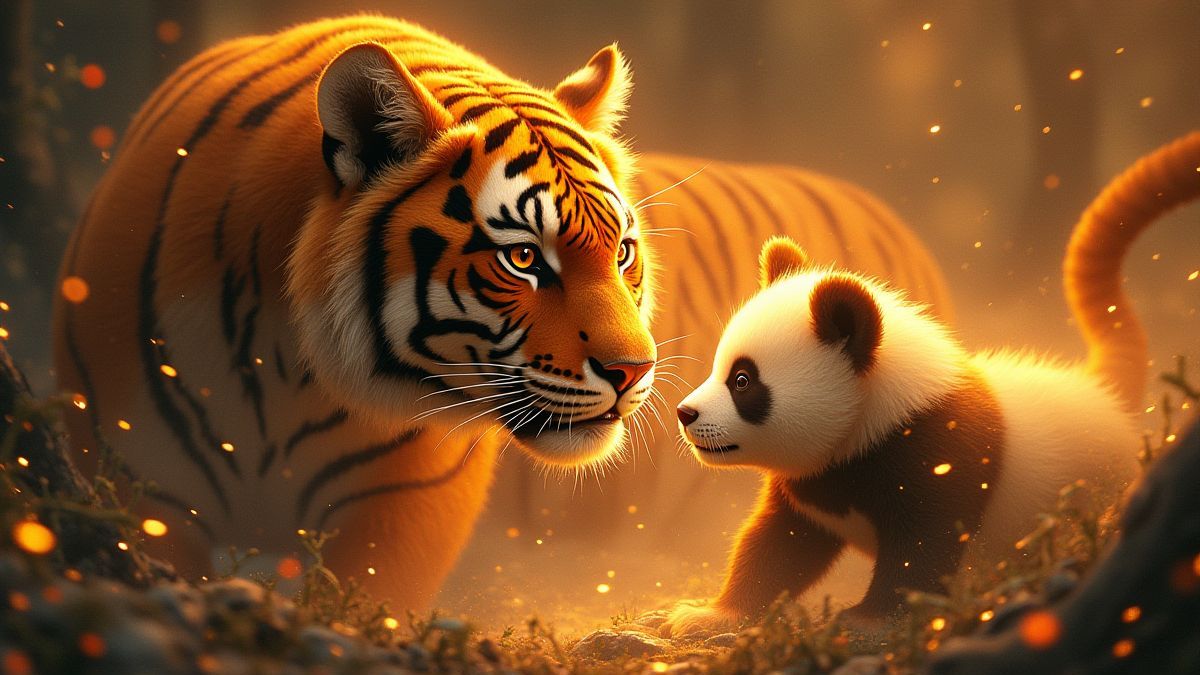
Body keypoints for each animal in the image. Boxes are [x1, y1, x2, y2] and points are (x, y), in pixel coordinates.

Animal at [663, 236, 1142, 635]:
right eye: (721, 368)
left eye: (743, 381)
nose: (686, 414)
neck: (875, 415)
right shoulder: (815, 480)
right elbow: (778, 545)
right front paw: (707, 616)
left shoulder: (936, 449)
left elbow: (924, 542)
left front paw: (867, 620)